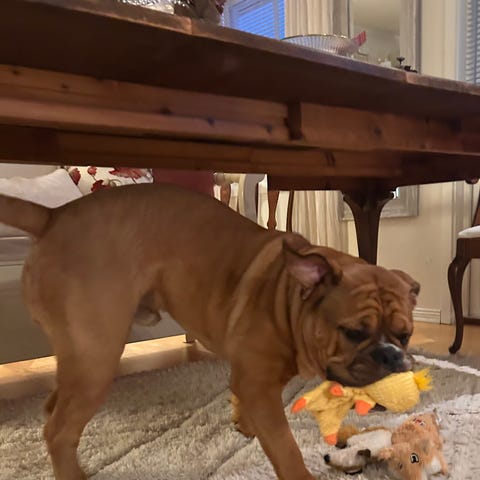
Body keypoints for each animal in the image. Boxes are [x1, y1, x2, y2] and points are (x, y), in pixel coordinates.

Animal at [0, 184, 419, 480]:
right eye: (353, 332)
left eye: (405, 335)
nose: (391, 354)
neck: (287, 301)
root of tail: (53, 215)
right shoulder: (259, 385)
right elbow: (285, 446)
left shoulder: (250, 377)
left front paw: (244, 424)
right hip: (97, 356)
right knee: (58, 429)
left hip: (79, 357)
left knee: (55, 408)